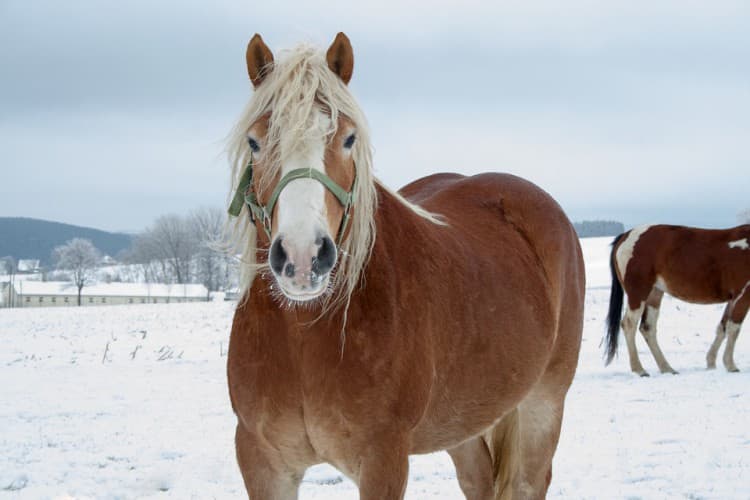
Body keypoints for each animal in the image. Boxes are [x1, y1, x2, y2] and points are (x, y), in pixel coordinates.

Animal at [225, 33, 588, 498]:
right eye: (255, 142)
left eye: (349, 138)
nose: (303, 256)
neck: (304, 335)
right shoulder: (263, 462)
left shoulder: (384, 459)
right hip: (464, 418)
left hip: (544, 402)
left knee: (528, 480)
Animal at [604, 224, 750, 376]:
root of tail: (626, 236)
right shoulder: (743, 295)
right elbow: (734, 329)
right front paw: (731, 365)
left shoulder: (732, 299)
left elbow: (722, 328)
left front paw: (711, 363)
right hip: (638, 294)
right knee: (629, 324)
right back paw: (639, 369)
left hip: (654, 294)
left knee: (648, 328)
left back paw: (666, 368)